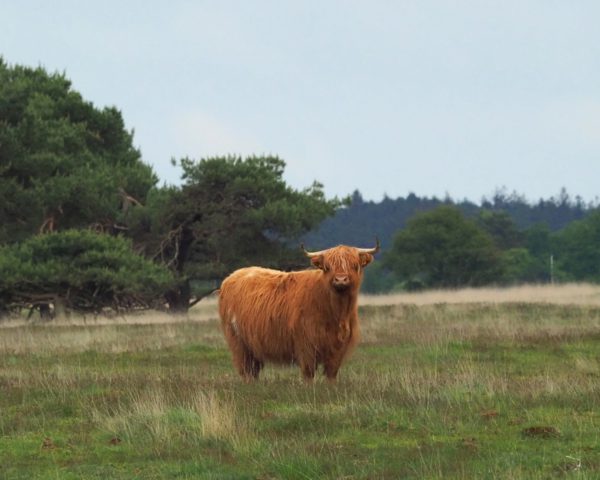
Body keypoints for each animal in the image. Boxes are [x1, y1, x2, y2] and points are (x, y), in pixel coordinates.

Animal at [217, 240, 380, 382]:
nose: (340, 280)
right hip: (238, 342)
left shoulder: (338, 347)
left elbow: (331, 374)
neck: (337, 313)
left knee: (253, 370)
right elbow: (308, 373)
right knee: (246, 370)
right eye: (327, 266)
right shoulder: (305, 344)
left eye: (354, 265)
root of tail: (232, 276)